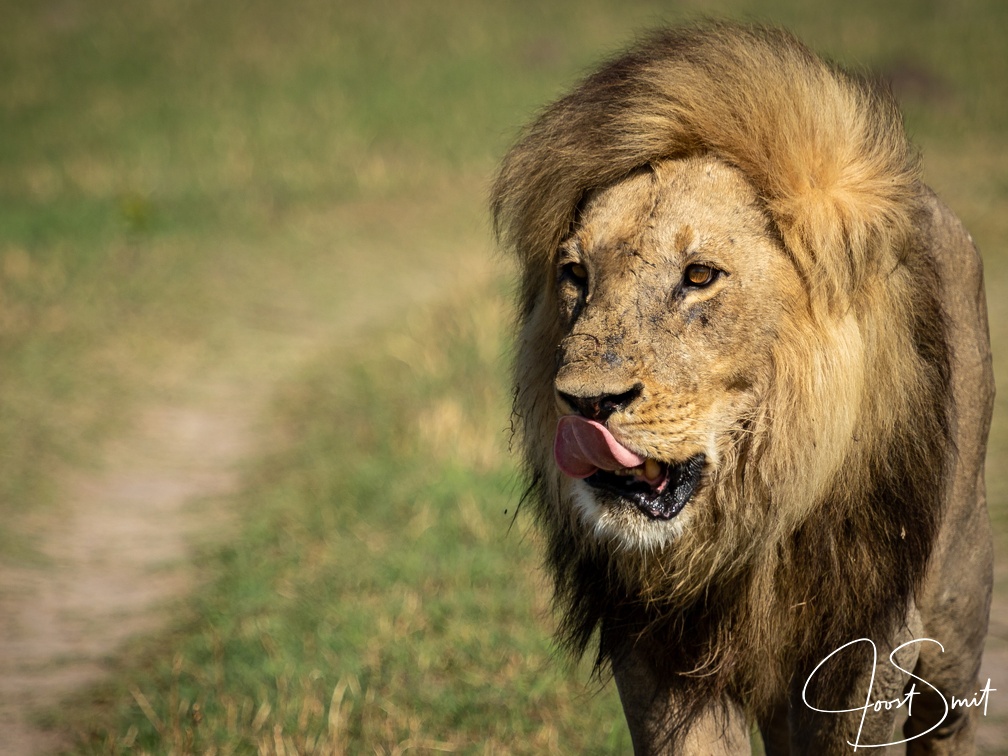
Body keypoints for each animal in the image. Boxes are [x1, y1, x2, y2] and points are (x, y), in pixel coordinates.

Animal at [491, 23, 994, 754]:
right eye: (576, 274)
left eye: (700, 275)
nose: (585, 404)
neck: (757, 513)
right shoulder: (658, 646)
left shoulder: (865, 637)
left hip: (957, 616)